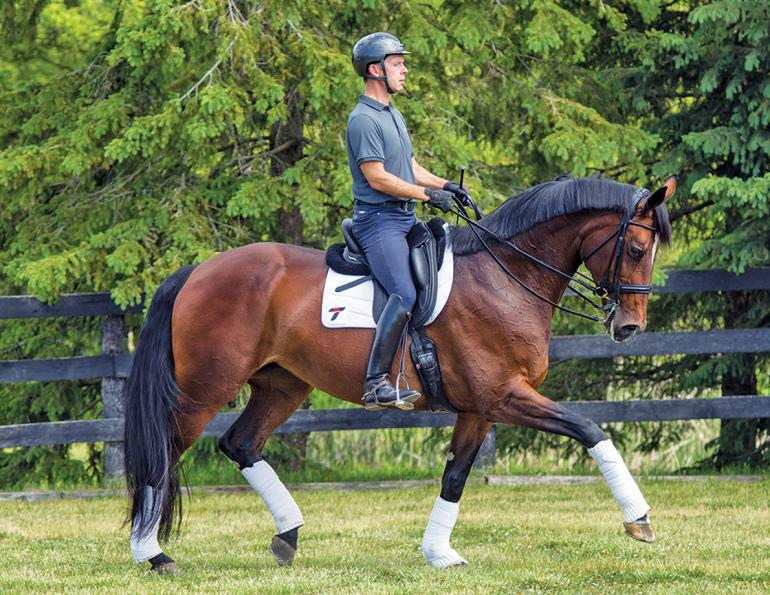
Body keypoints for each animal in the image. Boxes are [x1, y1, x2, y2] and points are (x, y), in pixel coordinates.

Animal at [124, 174, 676, 573]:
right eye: (634, 249)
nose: (629, 327)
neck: (504, 277)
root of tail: (197, 271)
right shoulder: (504, 396)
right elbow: (589, 429)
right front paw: (639, 519)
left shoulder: (479, 408)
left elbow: (455, 475)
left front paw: (438, 553)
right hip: (203, 391)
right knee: (162, 454)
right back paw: (153, 555)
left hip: (282, 385)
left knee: (240, 444)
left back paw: (287, 535)